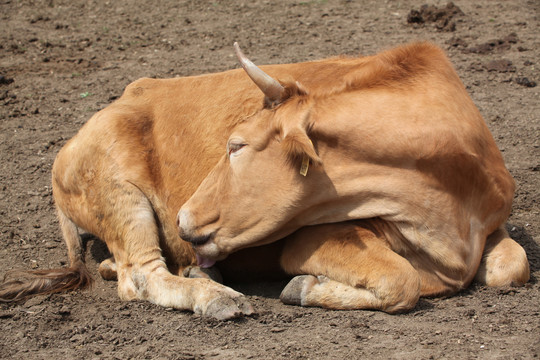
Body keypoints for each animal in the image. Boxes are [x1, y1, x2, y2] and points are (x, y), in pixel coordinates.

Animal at [0, 41, 528, 318]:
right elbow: (403, 280)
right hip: (118, 193)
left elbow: (513, 264)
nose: (183, 216)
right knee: (142, 276)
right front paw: (304, 287)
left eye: (235, 145)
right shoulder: (310, 238)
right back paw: (213, 296)